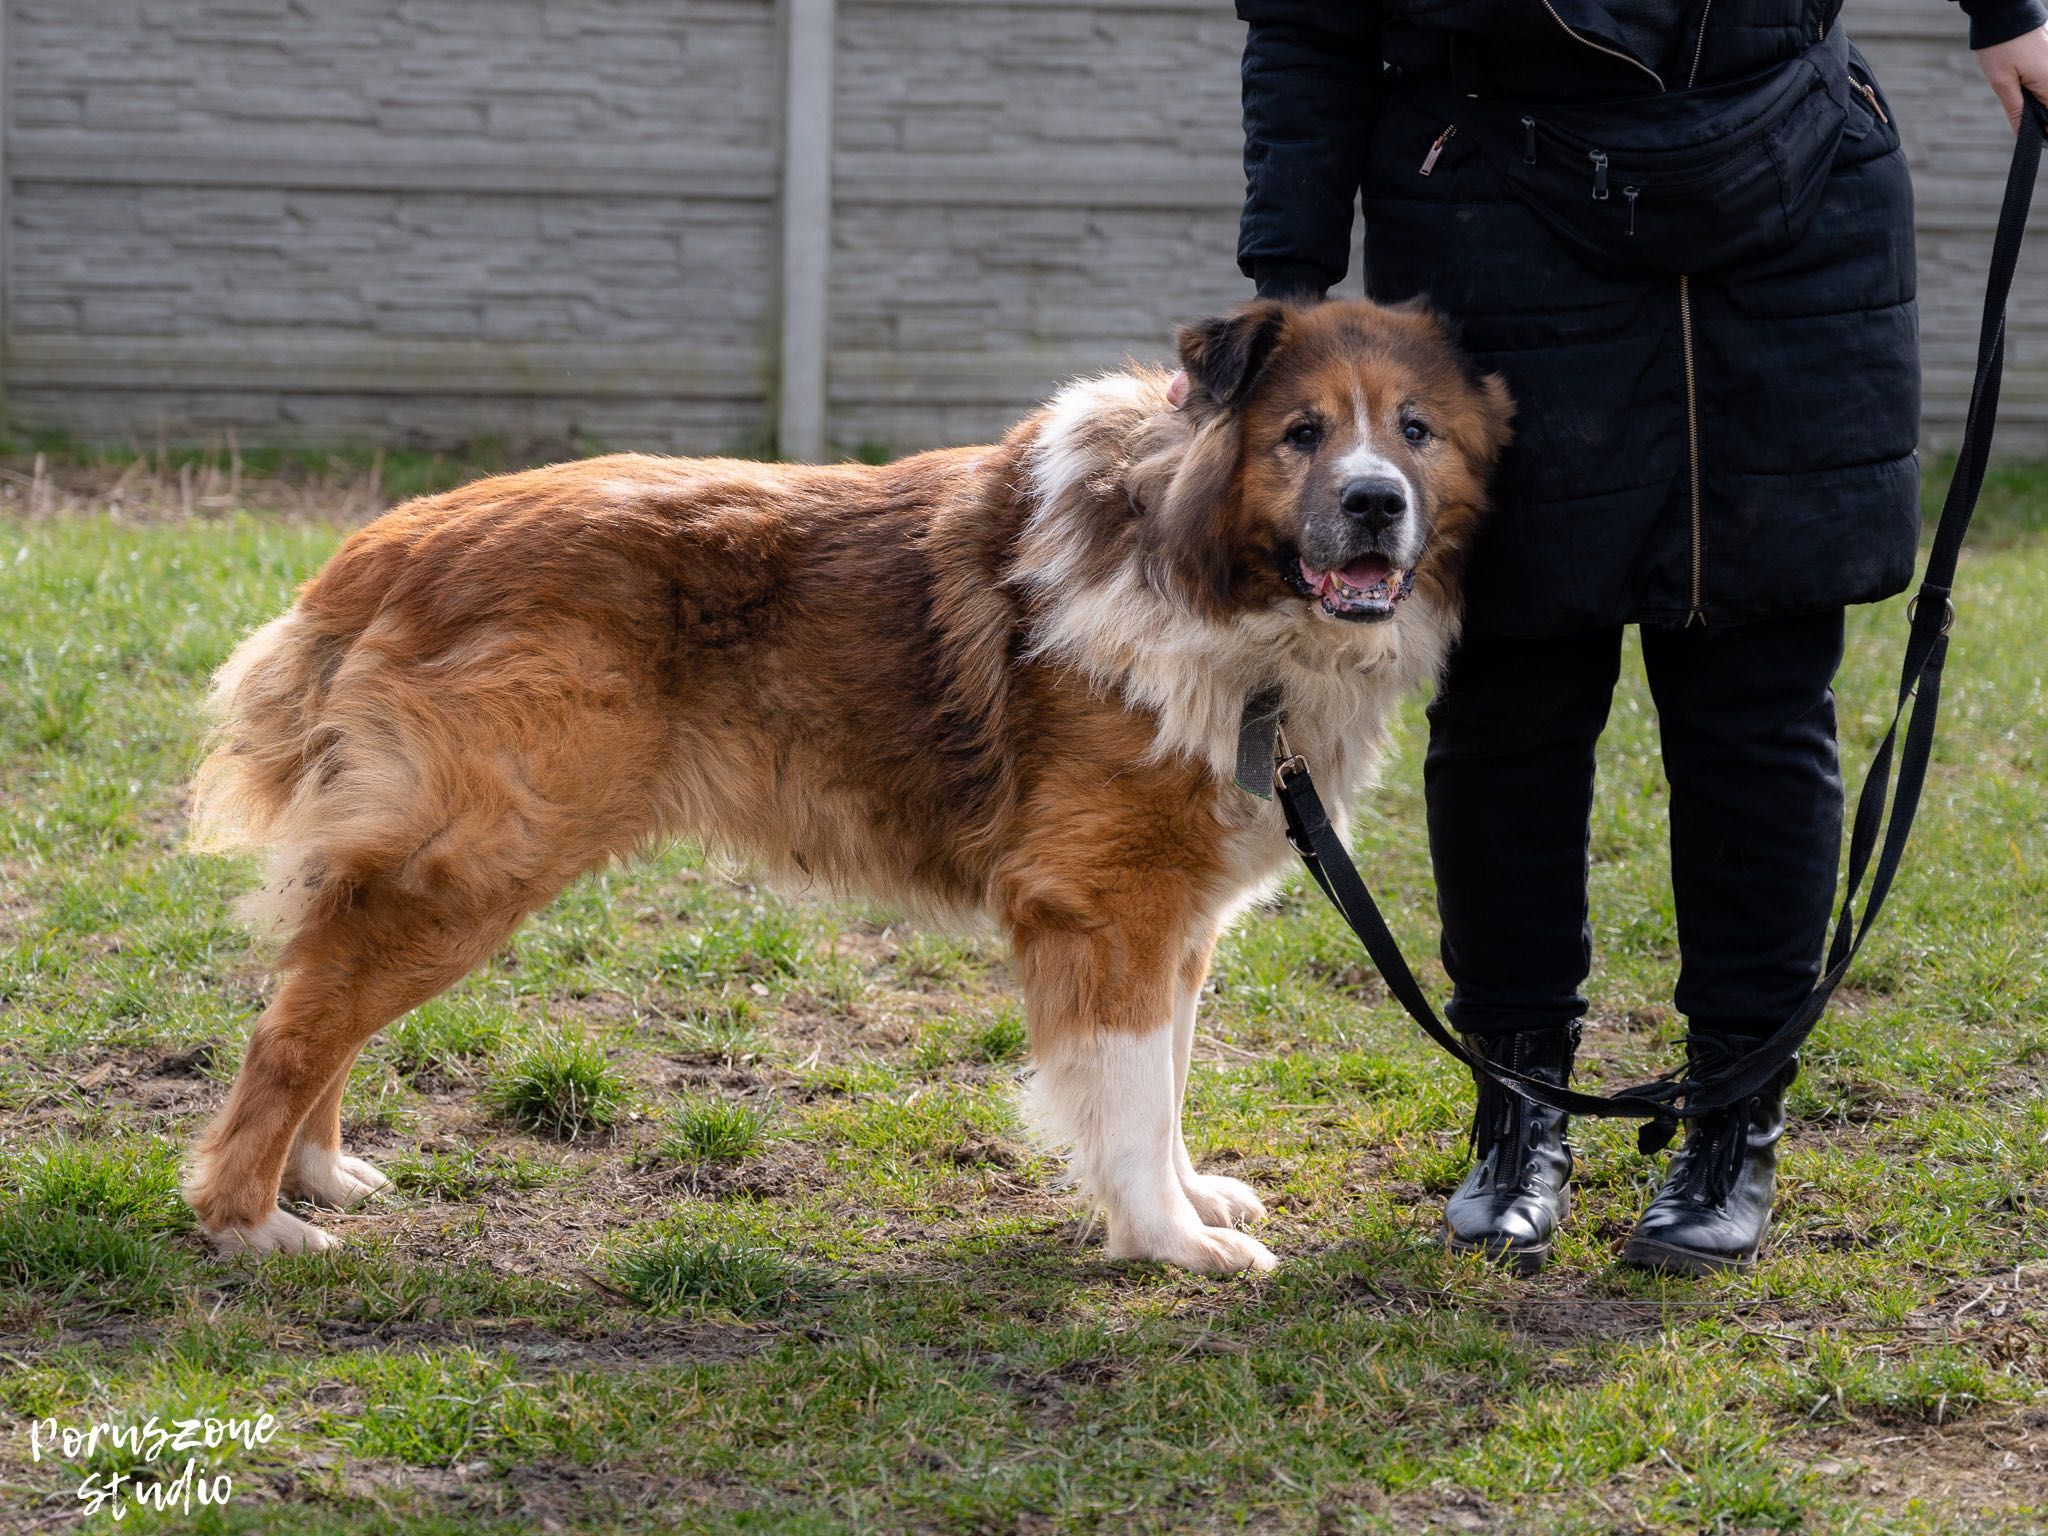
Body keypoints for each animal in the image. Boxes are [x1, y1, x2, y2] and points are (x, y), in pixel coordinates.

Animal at [184, 296, 1515, 1277]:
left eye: (1414, 432)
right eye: (1299, 434)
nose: (1372, 504)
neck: (1191, 563)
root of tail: (390, 540)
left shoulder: (1176, 915)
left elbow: (1168, 1080)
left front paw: (1186, 1202)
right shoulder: (1104, 905)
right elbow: (1132, 1092)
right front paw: (1164, 1240)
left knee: (320, 996)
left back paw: (319, 1174)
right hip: (477, 862)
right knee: (296, 1021)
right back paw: (254, 1221)